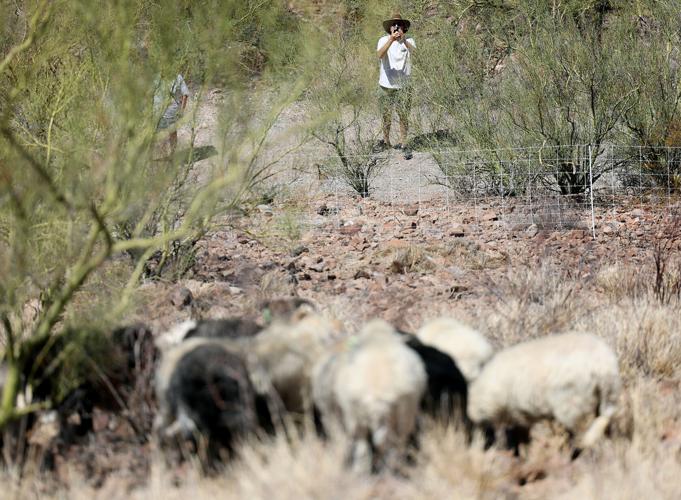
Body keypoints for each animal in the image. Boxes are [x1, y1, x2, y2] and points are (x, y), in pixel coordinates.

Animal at [467, 332, 623, 458]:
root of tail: (603, 365)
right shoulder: (519, 414)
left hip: (571, 401)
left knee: (583, 430)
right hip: (608, 394)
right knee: (605, 419)